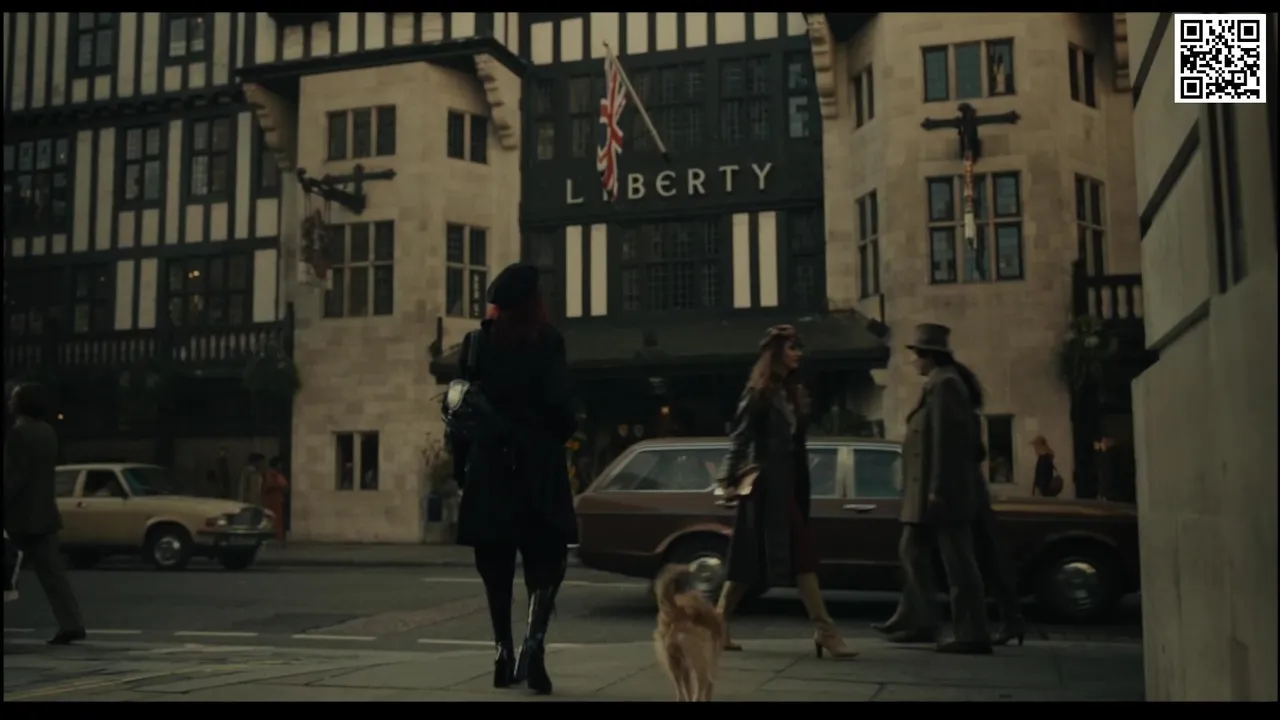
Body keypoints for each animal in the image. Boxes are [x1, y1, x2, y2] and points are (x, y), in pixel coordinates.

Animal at [653, 564, 726, 702]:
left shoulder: (684, 667)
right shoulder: (711, 665)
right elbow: (706, 691)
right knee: (699, 691)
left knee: (680, 692)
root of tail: (676, 611)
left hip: (672, 664)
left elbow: (687, 691)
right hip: (700, 665)